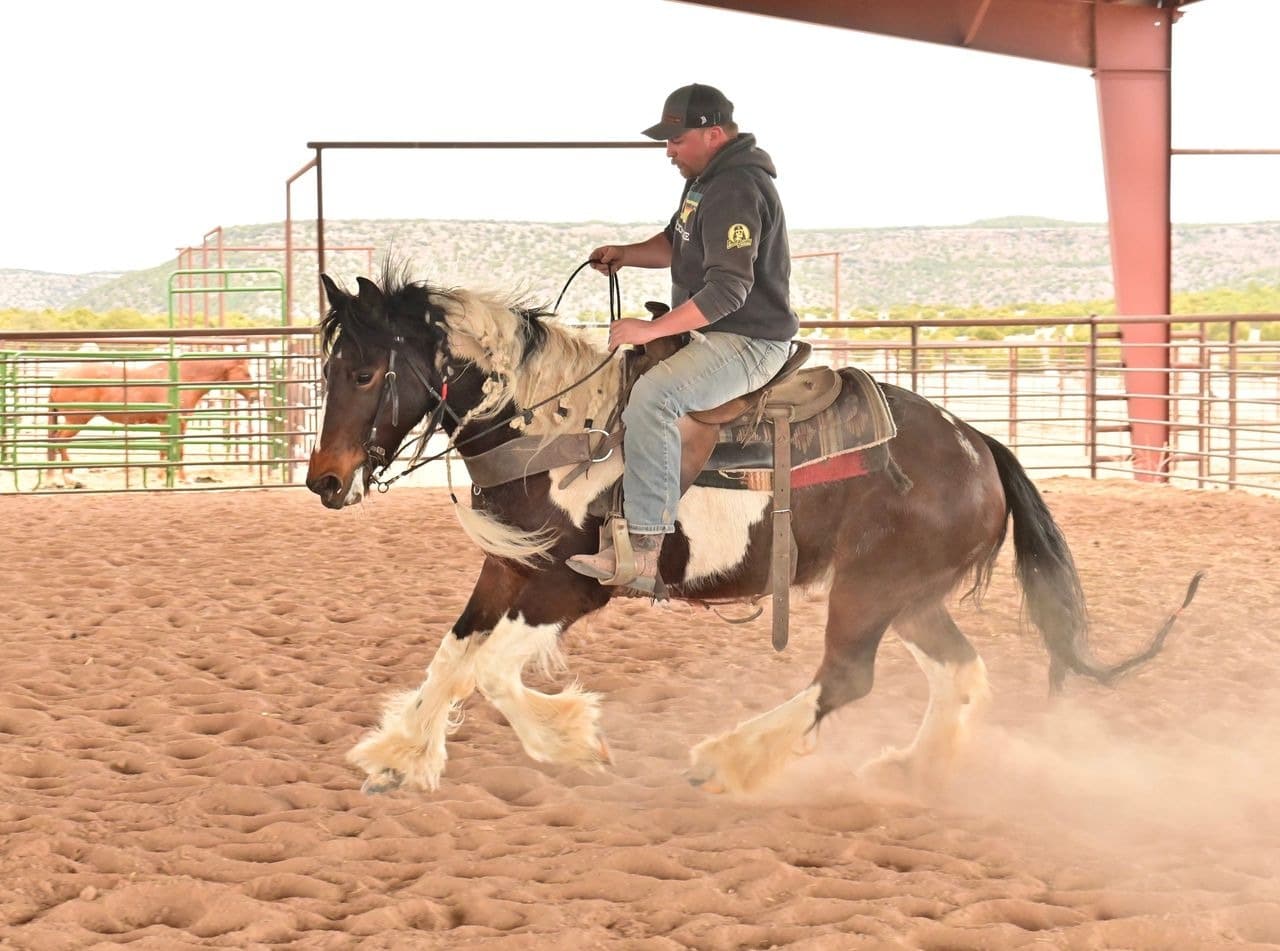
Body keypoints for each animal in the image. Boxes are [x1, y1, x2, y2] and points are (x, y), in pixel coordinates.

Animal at [46, 358, 258, 486]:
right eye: (247, 373)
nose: (255, 396)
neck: (181, 379)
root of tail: (59, 378)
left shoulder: (171, 424)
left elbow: (169, 449)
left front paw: (168, 476)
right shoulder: (172, 422)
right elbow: (174, 449)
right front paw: (176, 478)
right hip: (76, 419)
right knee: (60, 441)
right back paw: (69, 478)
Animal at [307, 271, 1198, 798]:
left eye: (364, 371)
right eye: (326, 369)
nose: (323, 481)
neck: (560, 425)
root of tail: (980, 445)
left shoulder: (572, 585)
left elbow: (491, 672)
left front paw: (574, 742)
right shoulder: (508, 569)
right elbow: (453, 655)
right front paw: (400, 752)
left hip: (870, 590)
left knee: (846, 678)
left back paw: (726, 759)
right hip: (909, 597)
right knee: (959, 671)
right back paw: (912, 766)